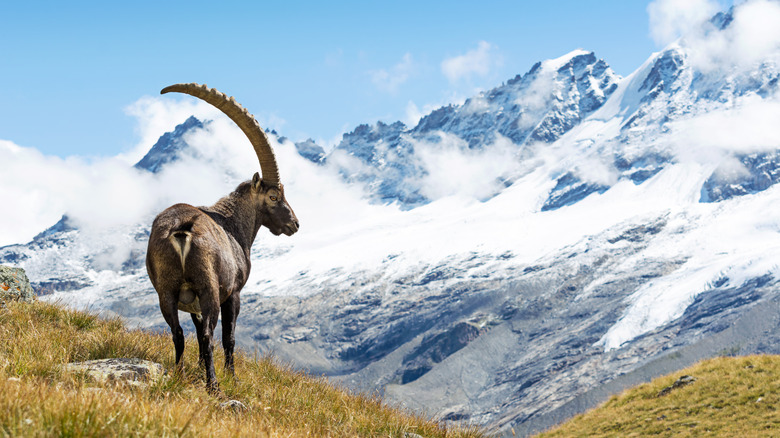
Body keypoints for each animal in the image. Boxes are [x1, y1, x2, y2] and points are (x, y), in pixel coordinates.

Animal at [146, 83, 299, 392]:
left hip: (166, 290)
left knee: (178, 332)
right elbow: (229, 337)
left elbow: (193, 330)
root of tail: (182, 228)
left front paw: (198, 368)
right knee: (208, 334)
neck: (232, 224)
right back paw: (213, 385)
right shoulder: (234, 293)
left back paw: (179, 374)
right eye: (274, 196)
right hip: (210, 289)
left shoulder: (189, 301)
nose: (295, 224)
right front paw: (232, 376)